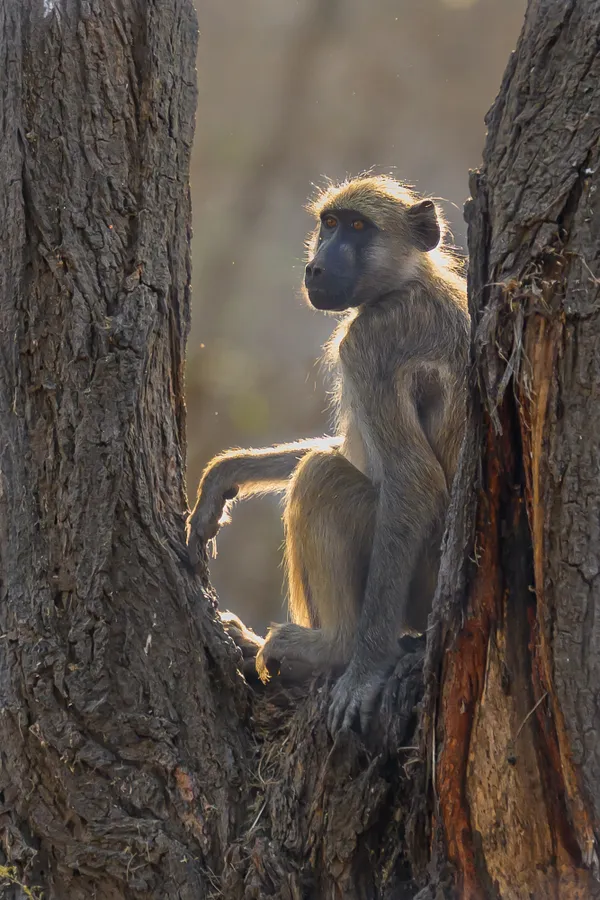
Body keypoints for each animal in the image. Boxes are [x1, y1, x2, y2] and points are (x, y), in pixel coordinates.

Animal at [187, 175, 469, 734]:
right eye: (330, 224)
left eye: (359, 227)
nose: (315, 267)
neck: (408, 281)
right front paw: (225, 477)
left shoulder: (370, 344)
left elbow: (412, 480)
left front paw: (362, 675)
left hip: (418, 585)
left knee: (322, 477)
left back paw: (332, 650)